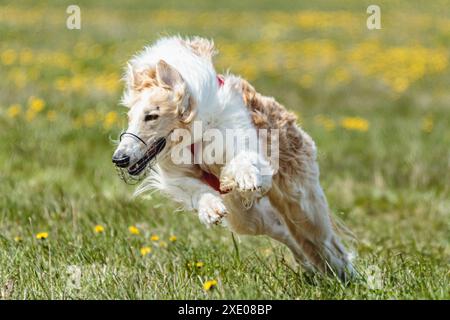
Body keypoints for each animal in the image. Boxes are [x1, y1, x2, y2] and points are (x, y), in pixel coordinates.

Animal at [112, 35, 356, 280]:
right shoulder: (175, 175)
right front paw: (210, 210)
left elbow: (243, 159)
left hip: (301, 202)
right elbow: (193, 189)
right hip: (248, 219)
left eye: (151, 116)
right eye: (130, 117)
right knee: (287, 233)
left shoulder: (242, 143)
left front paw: (245, 178)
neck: (194, 131)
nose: (119, 159)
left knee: (326, 242)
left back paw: (346, 273)